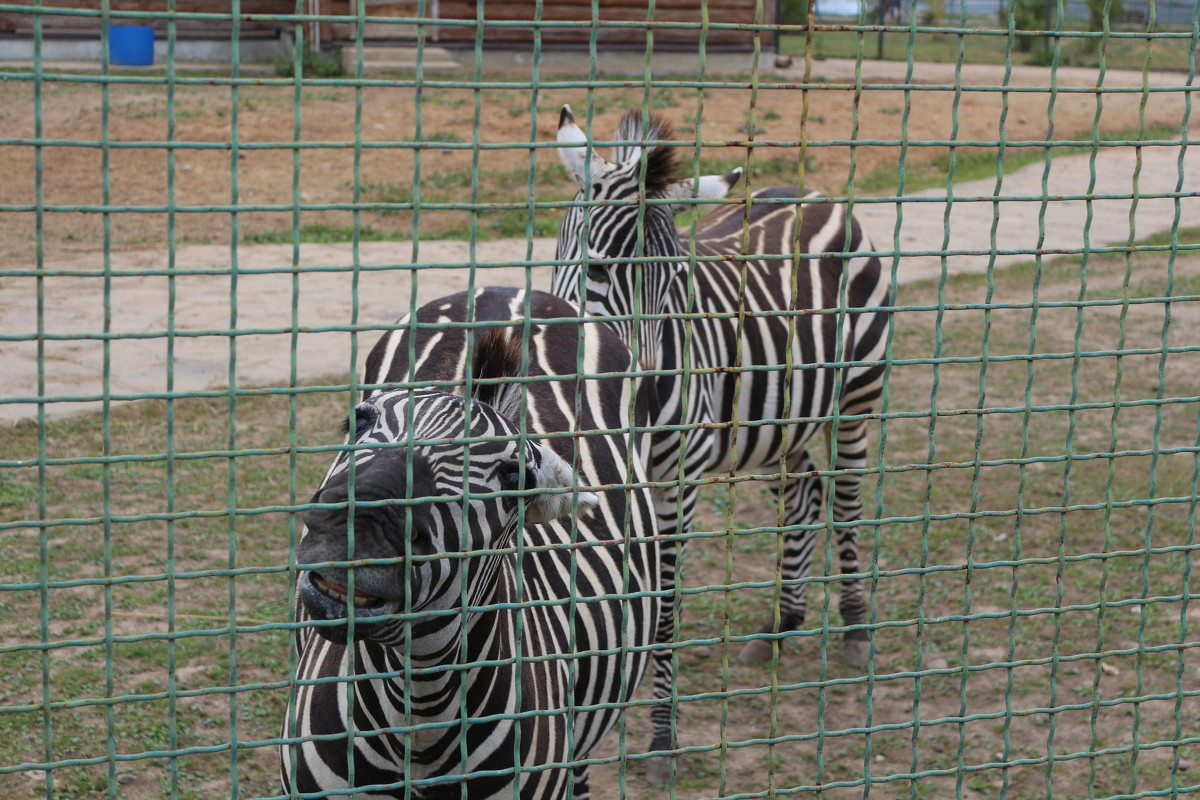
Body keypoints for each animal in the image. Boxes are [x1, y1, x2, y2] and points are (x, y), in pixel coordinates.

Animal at [549, 103, 892, 772]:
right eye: (598, 268)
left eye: (677, 278)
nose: (646, 397)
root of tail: (812, 194)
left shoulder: (676, 487)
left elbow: (663, 610)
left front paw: (661, 735)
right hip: (777, 422)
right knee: (804, 494)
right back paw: (783, 622)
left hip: (855, 398)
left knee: (845, 500)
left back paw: (857, 626)